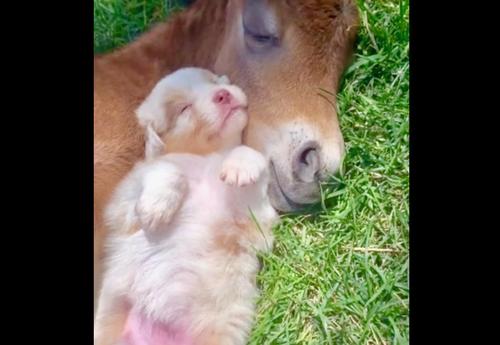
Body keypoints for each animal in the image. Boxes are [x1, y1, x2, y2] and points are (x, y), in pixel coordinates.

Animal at [94, 68, 280, 344]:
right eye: (184, 108)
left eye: (213, 81)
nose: (222, 94)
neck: (206, 157)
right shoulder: (124, 202)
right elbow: (167, 169)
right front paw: (157, 206)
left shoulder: (254, 216)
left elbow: (247, 153)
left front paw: (240, 166)